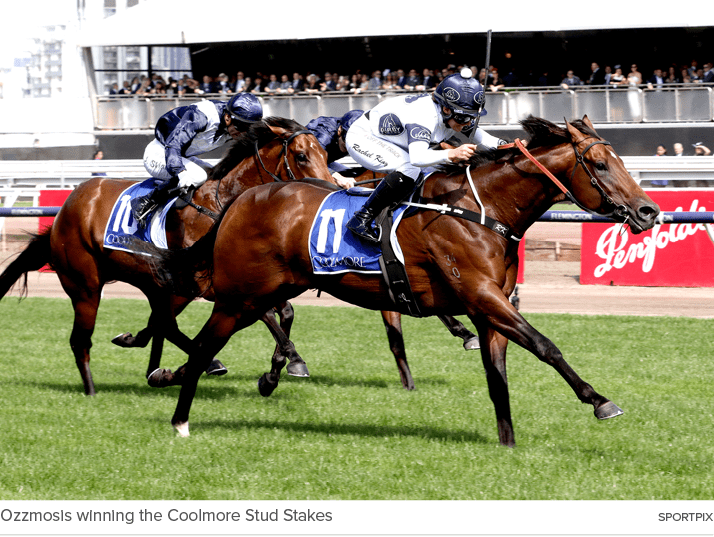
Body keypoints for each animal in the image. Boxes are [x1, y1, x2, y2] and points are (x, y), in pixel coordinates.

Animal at [149, 116, 656, 444]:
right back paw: (180, 419)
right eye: (601, 164)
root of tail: (241, 199)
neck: (480, 210)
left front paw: (508, 443)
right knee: (202, 345)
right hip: (239, 296)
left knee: (234, 334)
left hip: (264, 293)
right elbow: (545, 345)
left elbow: (498, 376)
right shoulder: (483, 295)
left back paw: (185, 377)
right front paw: (599, 401)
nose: (649, 211)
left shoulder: (489, 307)